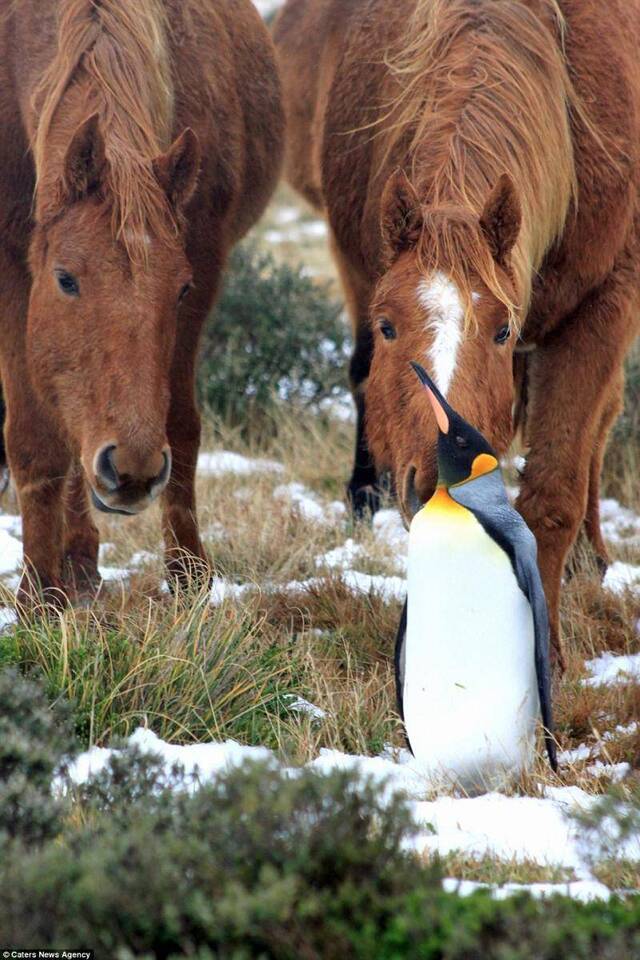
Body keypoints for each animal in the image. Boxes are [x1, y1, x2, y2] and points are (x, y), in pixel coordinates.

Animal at [0, 0, 282, 600]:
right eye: (65, 279)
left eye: (181, 289)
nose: (130, 472)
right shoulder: (12, 268)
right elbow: (36, 438)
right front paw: (37, 594)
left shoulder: (204, 259)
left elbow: (181, 422)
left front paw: (190, 573)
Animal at [278, 0, 640, 664]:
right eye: (388, 326)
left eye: (502, 332)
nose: (442, 474)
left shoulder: (604, 308)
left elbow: (555, 489)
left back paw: (590, 555)